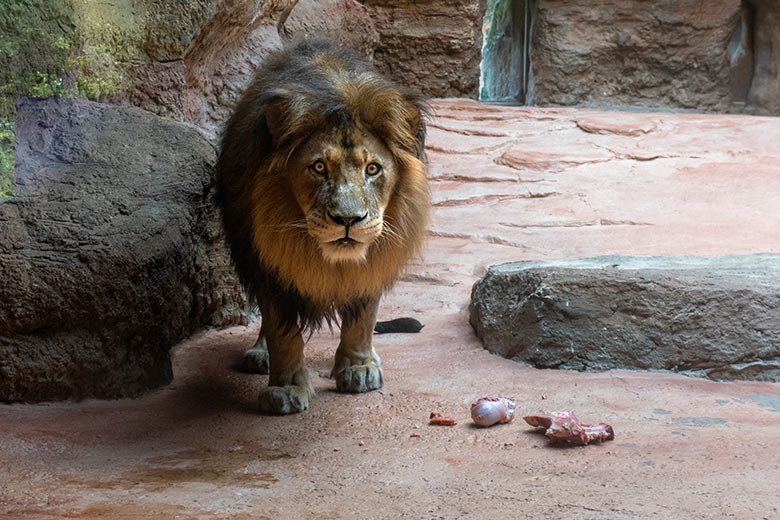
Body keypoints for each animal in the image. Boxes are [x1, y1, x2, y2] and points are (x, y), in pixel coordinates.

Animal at [216, 39, 430, 414]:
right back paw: (261, 353)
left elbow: (363, 318)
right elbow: (282, 331)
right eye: (318, 167)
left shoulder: (375, 261)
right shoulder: (269, 266)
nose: (348, 219)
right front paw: (286, 389)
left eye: (372, 169)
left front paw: (360, 368)